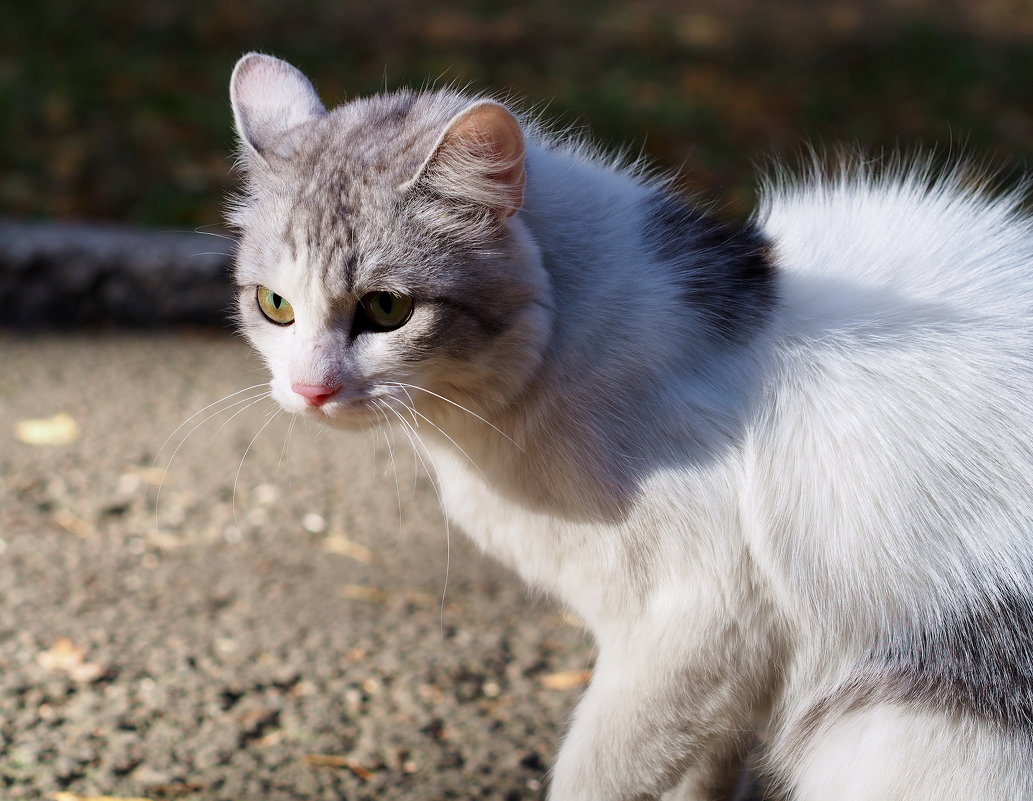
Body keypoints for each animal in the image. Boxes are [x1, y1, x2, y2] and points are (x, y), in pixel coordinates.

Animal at [224, 53, 1033, 797]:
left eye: (386, 308)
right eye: (274, 304)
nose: (309, 388)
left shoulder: (701, 621)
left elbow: (599, 770)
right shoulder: (719, 677)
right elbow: (700, 770)